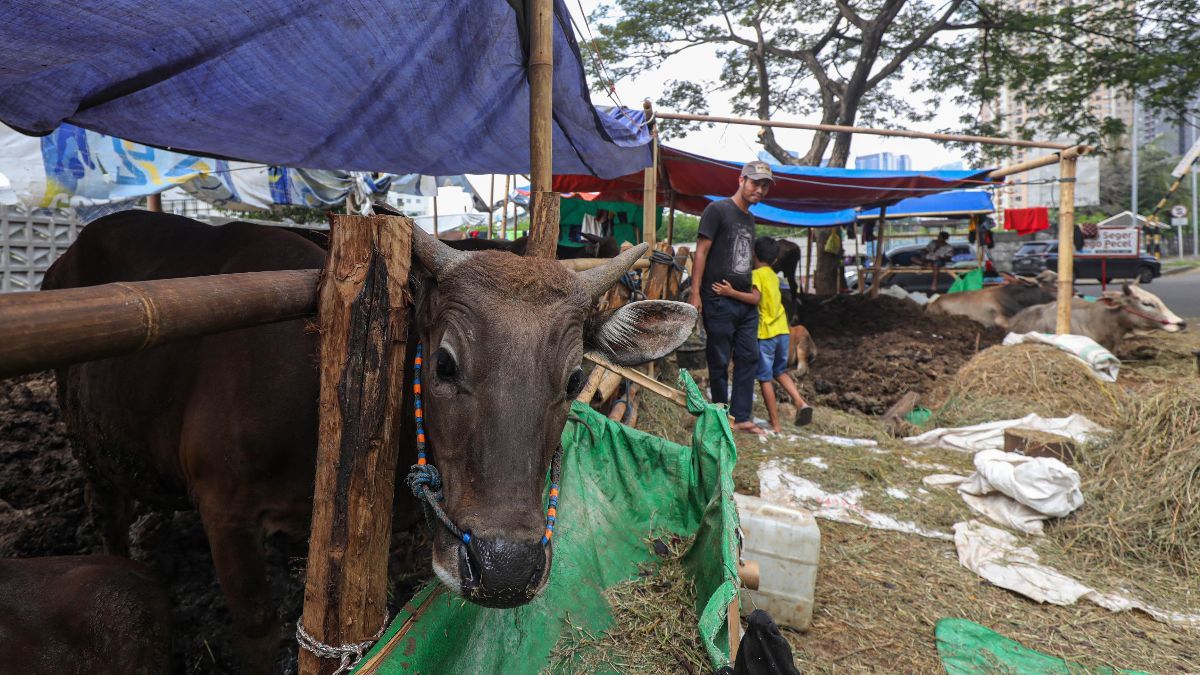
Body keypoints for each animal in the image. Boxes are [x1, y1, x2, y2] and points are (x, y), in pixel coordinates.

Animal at [42, 208, 696, 667]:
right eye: (444, 363)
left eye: (575, 377)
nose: (506, 568)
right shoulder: (224, 508)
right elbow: (258, 627)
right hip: (91, 448)